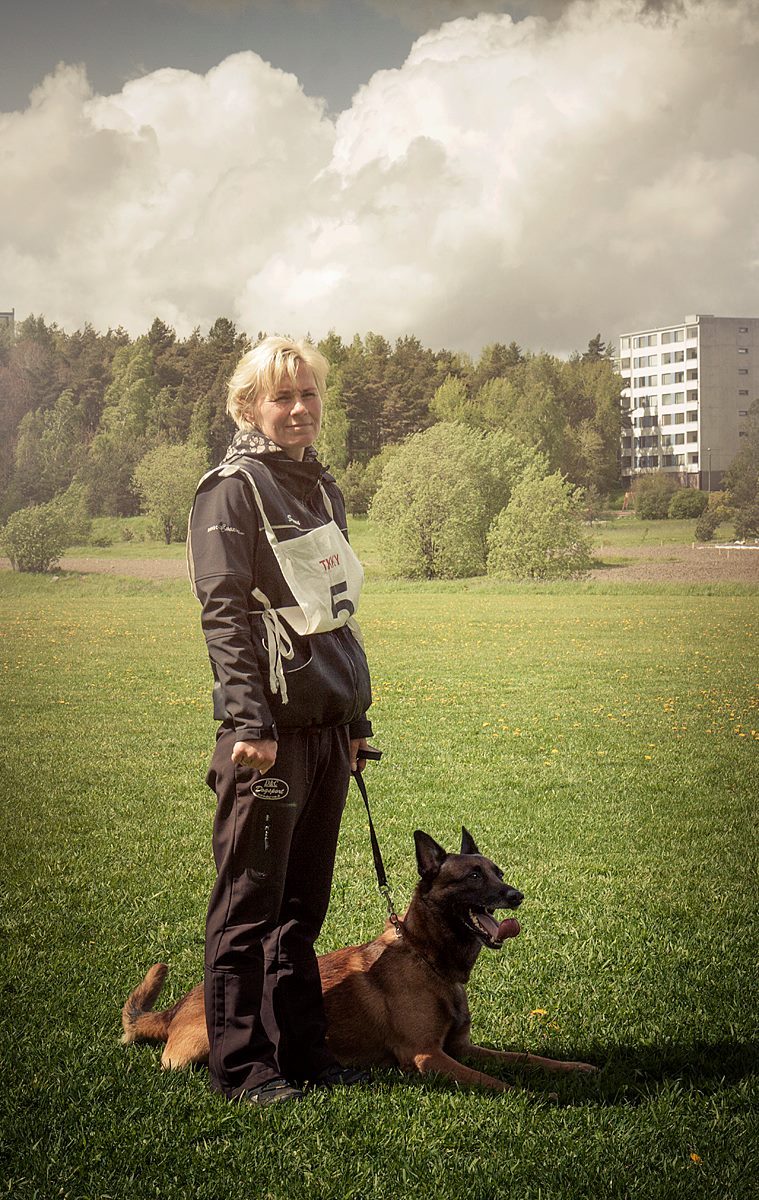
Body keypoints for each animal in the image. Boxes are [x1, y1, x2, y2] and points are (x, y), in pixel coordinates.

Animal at [121, 828, 597, 1091]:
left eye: (498, 872)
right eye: (474, 875)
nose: (517, 896)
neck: (427, 957)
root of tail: (177, 1007)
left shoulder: (460, 1048)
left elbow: (528, 1060)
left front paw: (574, 1069)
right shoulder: (427, 1057)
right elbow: (497, 1082)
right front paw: (539, 1097)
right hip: (202, 1047)